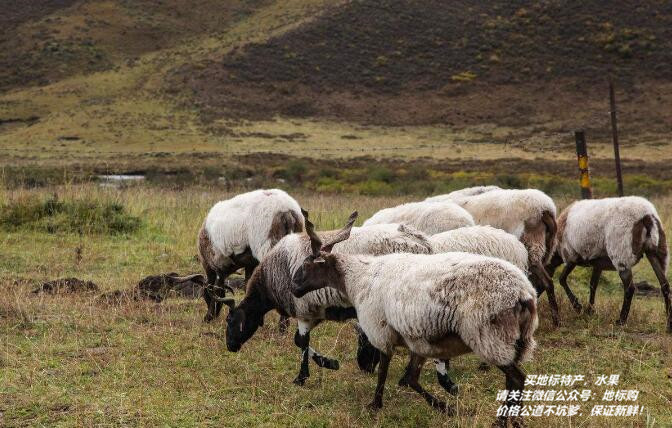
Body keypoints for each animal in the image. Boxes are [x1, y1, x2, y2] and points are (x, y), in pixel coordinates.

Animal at [198, 189, 304, 322]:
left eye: (204, 296)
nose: (209, 318)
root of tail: (287, 210)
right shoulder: (249, 264)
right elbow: (247, 285)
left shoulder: (218, 265)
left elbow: (217, 290)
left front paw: (209, 315)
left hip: (268, 246)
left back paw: (283, 326)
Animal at [222, 217, 430, 384]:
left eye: (230, 321)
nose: (230, 347)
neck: (270, 279)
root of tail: (421, 241)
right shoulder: (318, 311)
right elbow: (299, 341)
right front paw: (330, 363)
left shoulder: (303, 310)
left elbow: (302, 342)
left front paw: (302, 377)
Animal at [292, 214, 540, 424]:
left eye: (307, 264)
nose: (294, 287)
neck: (357, 278)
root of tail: (523, 294)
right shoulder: (417, 340)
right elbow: (411, 379)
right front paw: (445, 407)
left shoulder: (382, 332)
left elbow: (383, 372)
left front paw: (375, 404)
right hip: (513, 341)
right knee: (512, 380)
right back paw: (514, 419)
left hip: (490, 337)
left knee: (517, 378)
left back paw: (504, 421)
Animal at [548, 197, 668, 332]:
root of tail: (647, 215)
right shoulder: (597, 264)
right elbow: (593, 285)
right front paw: (590, 311)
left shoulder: (571, 255)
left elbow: (562, 278)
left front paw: (578, 307)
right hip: (656, 251)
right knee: (665, 286)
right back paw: (669, 324)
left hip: (621, 254)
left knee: (630, 288)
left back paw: (621, 320)